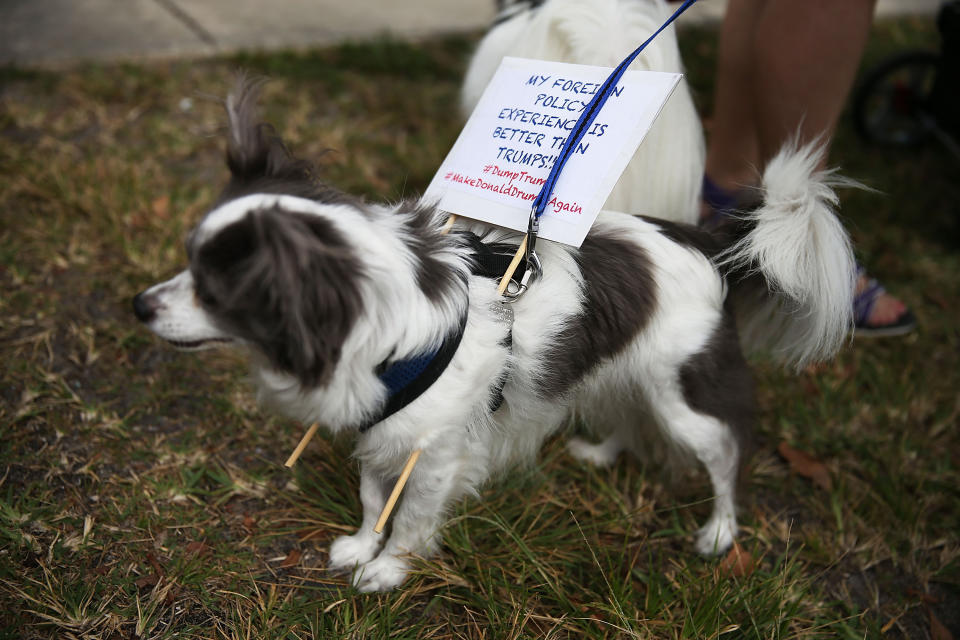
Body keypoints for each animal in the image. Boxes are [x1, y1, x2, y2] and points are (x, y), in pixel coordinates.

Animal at [129, 77, 856, 592]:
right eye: (185, 262)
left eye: (213, 290)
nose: (138, 305)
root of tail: (708, 245)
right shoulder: (384, 433)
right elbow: (371, 498)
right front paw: (361, 546)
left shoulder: (435, 455)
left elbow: (410, 516)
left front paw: (388, 570)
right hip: (628, 374)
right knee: (629, 413)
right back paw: (602, 454)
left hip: (685, 397)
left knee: (726, 453)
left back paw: (719, 532)